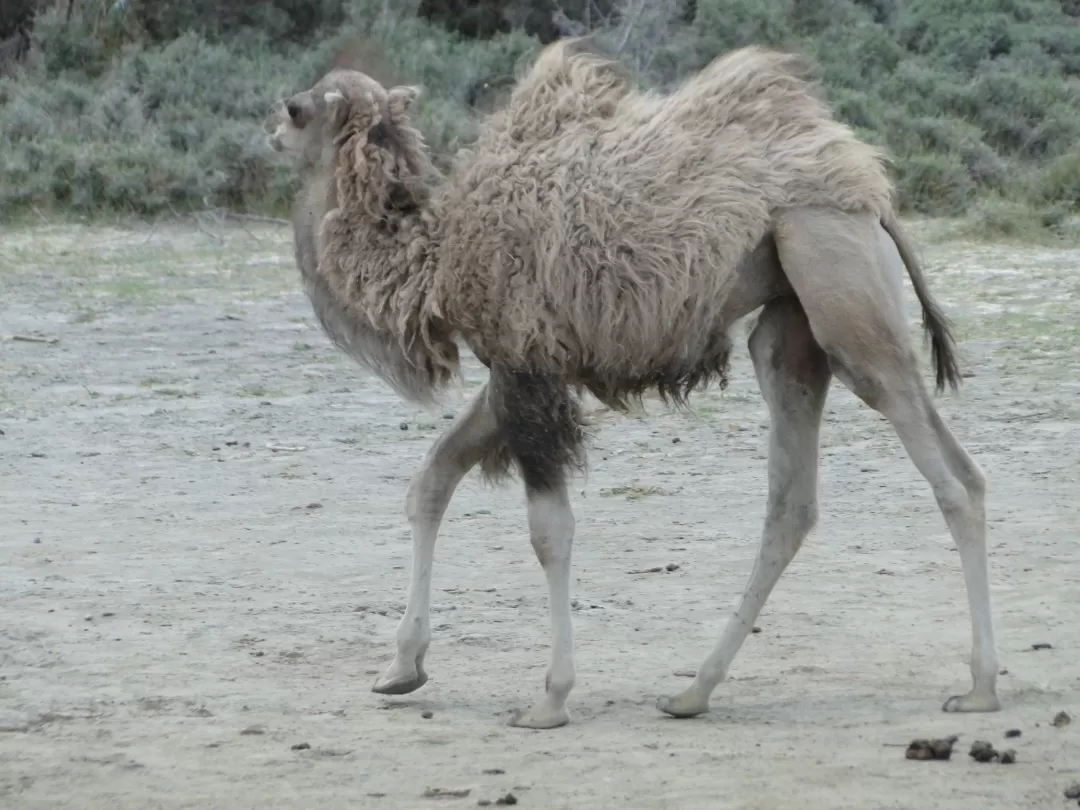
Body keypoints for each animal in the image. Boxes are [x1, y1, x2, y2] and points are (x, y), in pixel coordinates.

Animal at [265, 38, 997, 734]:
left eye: (300, 108)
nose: (271, 128)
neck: (437, 261)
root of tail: (874, 197)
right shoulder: (518, 365)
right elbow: (432, 481)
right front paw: (400, 668)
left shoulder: (525, 364)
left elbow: (548, 531)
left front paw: (550, 698)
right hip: (791, 328)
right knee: (802, 501)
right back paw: (693, 692)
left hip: (838, 283)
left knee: (950, 479)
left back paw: (980, 689)